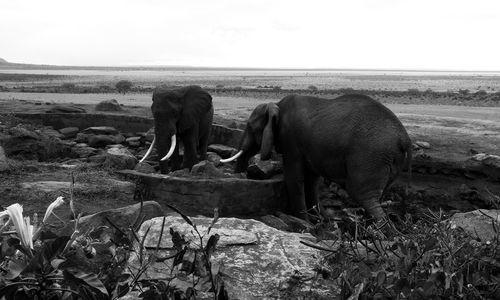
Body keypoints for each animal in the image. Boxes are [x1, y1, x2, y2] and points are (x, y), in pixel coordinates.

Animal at [222, 95, 410, 221]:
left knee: (364, 196)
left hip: (369, 156)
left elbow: (294, 177)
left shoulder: (290, 138)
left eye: (249, 126)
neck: (276, 104)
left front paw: (304, 223)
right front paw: (319, 219)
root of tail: (404, 139)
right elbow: (312, 180)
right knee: (376, 197)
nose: (240, 174)